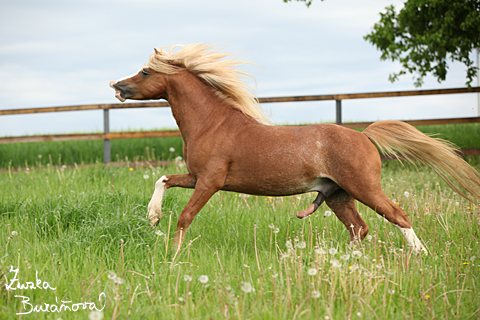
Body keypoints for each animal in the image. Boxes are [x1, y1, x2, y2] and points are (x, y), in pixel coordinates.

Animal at [109, 43, 480, 252]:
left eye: (145, 71)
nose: (117, 86)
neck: (212, 123)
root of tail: (364, 136)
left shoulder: (210, 182)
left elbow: (185, 216)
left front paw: (173, 254)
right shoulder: (195, 176)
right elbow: (163, 179)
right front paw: (153, 216)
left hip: (364, 187)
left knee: (397, 215)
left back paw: (420, 255)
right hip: (338, 195)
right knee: (359, 228)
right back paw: (344, 260)